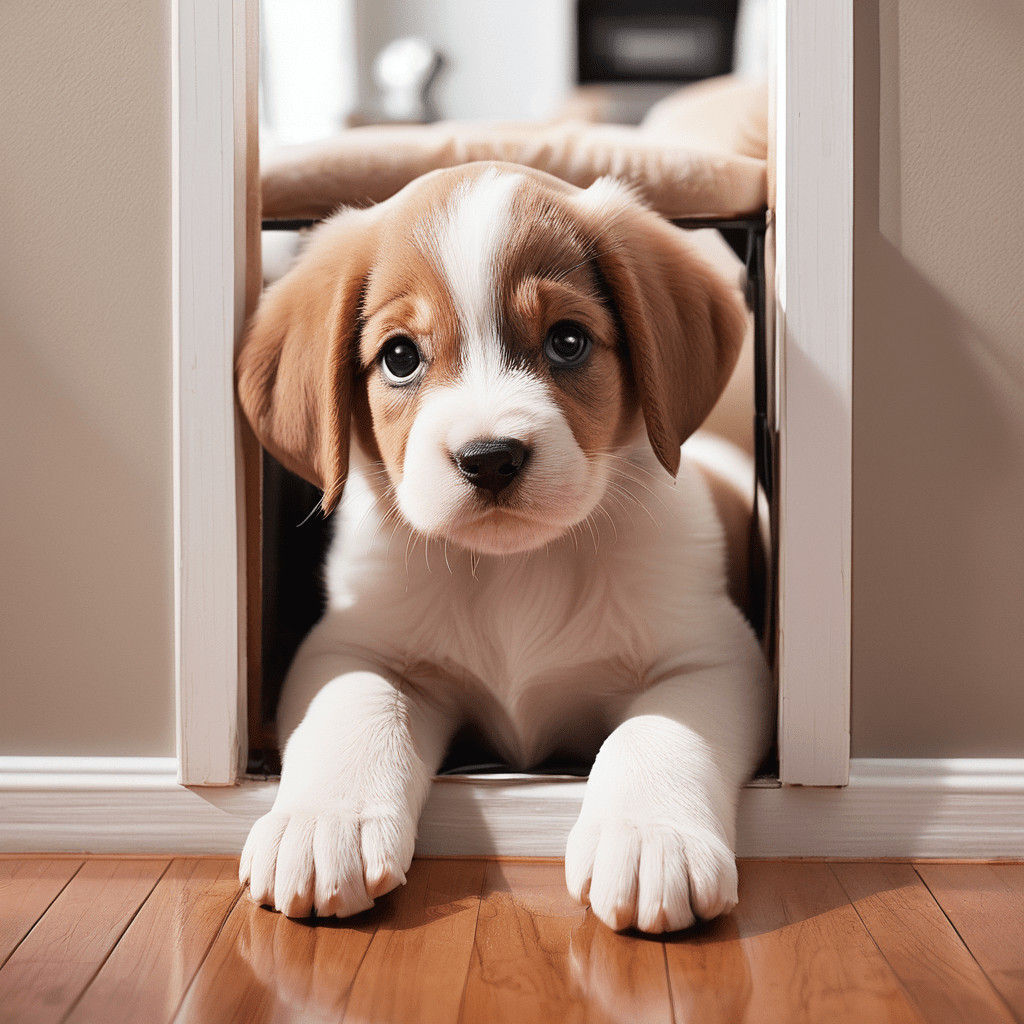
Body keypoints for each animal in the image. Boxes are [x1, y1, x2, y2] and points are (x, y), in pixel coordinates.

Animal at [237, 161, 770, 937]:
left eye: (568, 342)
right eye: (400, 356)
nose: (489, 459)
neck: (513, 574)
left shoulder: (711, 658)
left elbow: (656, 732)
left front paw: (650, 836)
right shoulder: (351, 648)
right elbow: (354, 708)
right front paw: (320, 823)